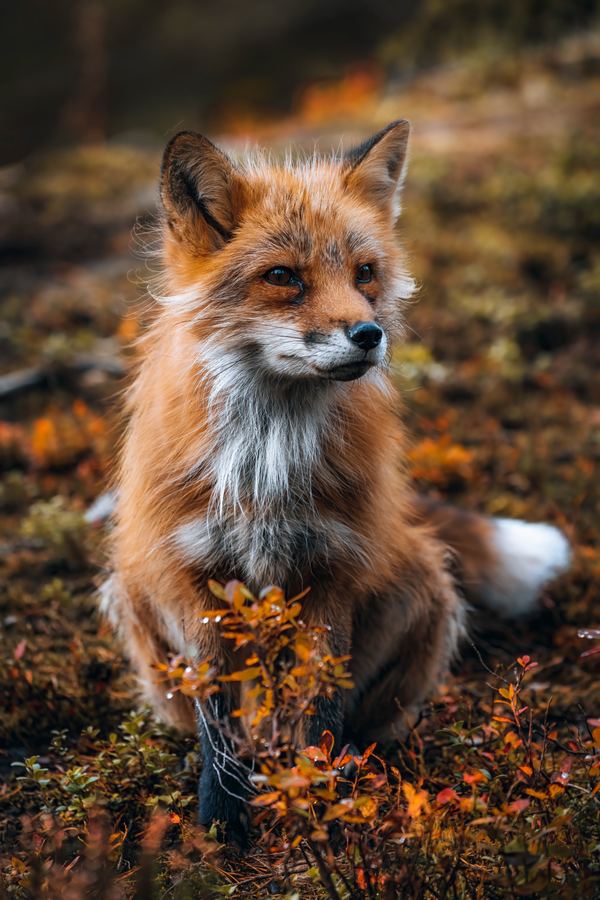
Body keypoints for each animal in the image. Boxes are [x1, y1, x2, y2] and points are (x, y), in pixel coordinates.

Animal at [102, 121, 571, 844]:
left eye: (365, 273)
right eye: (283, 277)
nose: (369, 334)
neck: (264, 465)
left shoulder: (332, 569)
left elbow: (321, 706)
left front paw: (320, 800)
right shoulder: (197, 575)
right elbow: (217, 728)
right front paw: (222, 823)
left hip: (424, 586)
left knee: (359, 721)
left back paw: (354, 763)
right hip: (135, 591)